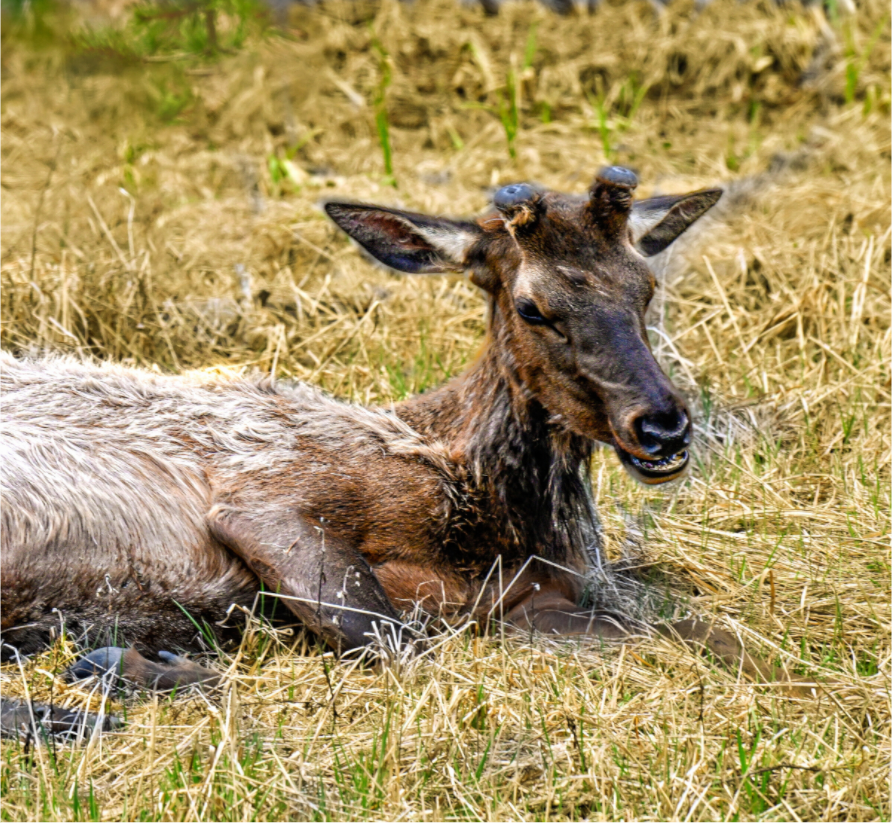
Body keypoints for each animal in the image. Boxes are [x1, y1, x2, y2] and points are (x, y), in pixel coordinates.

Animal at [0, 167, 806, 740]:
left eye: (645, 287)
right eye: (532, 306)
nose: (663, 427)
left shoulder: (536, 599)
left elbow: (712, 630)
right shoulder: (264, 500)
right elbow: (399, 643)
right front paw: (132, 663)